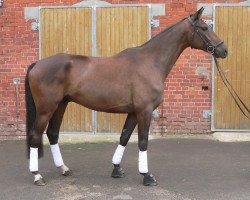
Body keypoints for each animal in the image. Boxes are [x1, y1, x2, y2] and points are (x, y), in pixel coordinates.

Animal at [24, 7, 227, 186]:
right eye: (204, 28)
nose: (224, 50)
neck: (150, 62)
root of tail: (37, 64)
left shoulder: (133, 112)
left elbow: (124, 137)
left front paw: (116, 169)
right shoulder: (144, 111)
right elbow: (143, 142)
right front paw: (147, 176)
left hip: (61, 104)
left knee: (52, 134)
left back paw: (63, 168)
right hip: (46, 109)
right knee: (35, 135)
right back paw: (37, 175)